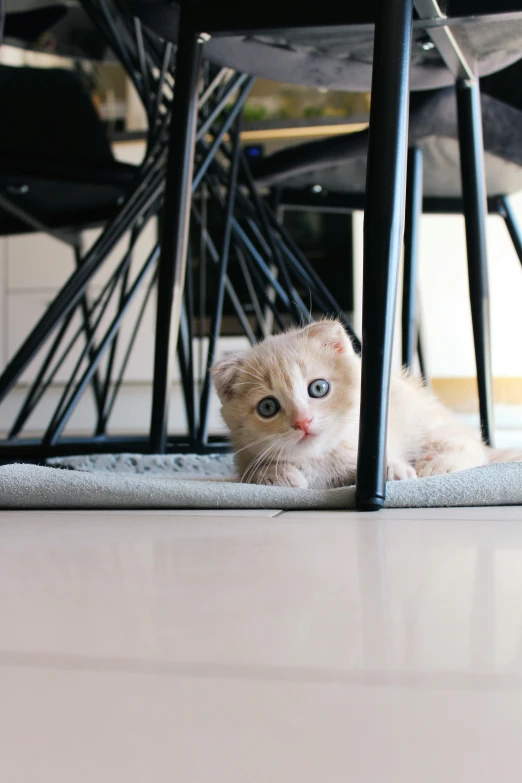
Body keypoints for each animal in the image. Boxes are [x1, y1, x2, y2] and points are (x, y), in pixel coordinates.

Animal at [209, 320, 516, 490]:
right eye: (267, 408)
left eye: (318, 388)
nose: (303, 421)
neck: (320, 460)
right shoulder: (244, 457)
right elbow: (252, 471)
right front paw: (276, 475)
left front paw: (393, 470)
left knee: (468, 444)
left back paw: (437, 465)